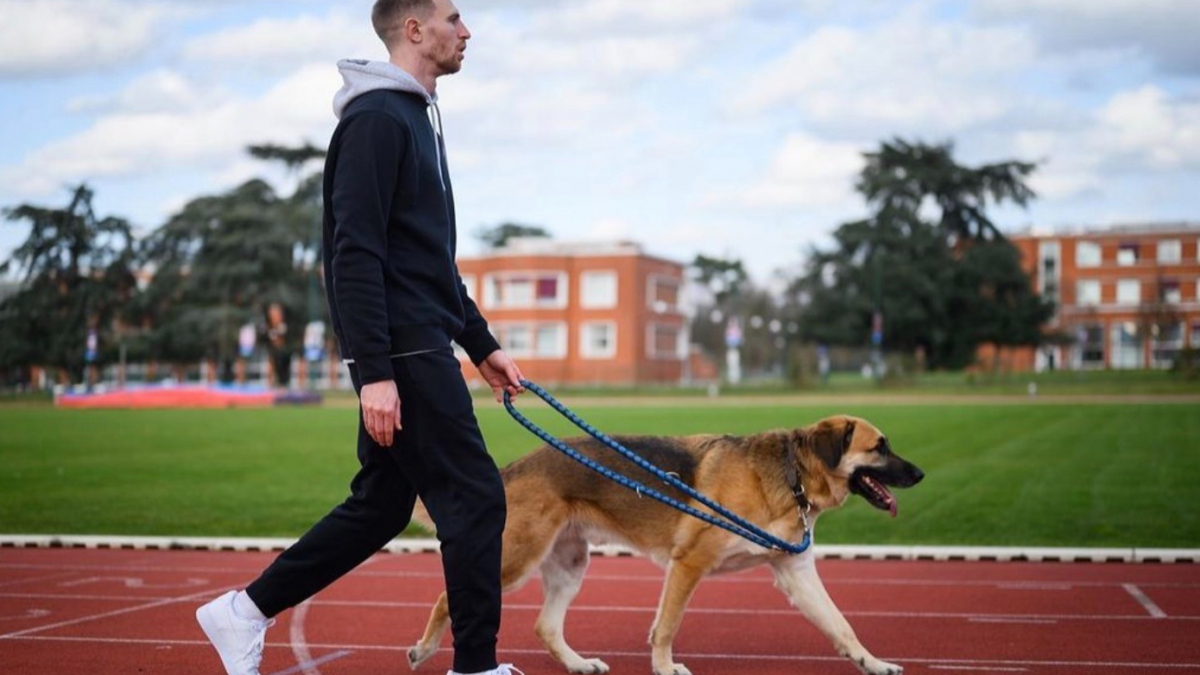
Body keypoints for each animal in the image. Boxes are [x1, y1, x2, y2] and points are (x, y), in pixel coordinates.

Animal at [408, 413, 921, 672]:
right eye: (880, 447)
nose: (919, 473)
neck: (792, 474)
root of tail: (515, 466)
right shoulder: (688, 564)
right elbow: (668, 626)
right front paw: (665, 666)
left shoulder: (796, 574)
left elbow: (842, 626)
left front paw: (872, 664)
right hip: (515, 560)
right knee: (446, 597)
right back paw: (425, 649)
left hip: (570, 565)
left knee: (546, 627)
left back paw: (578, 664)